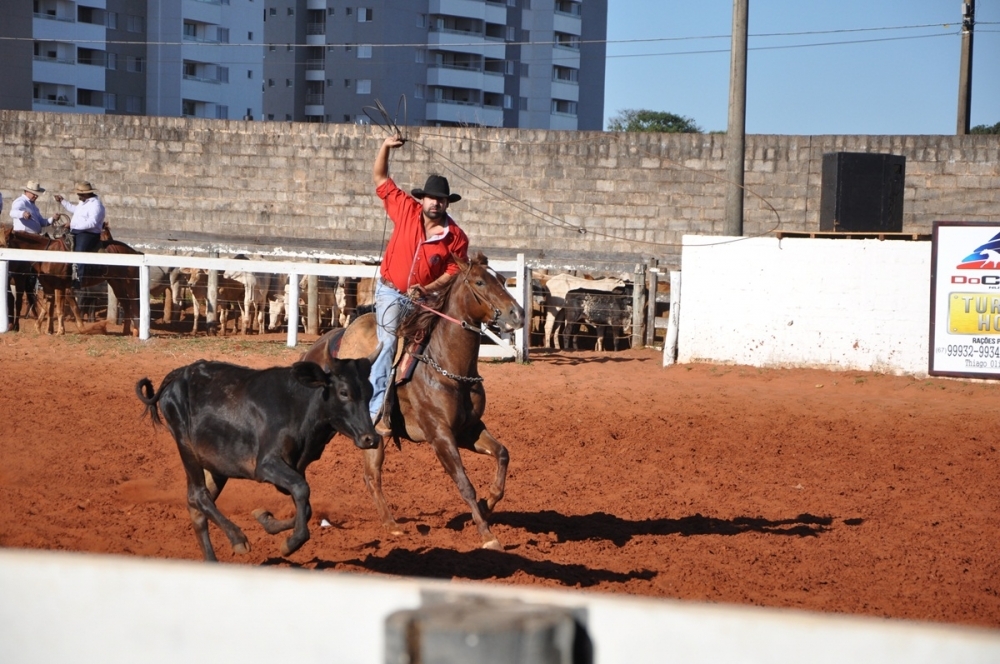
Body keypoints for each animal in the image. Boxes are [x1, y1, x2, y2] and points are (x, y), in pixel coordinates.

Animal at [0, 224, 143, 338]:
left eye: (3, 243)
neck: (49, 253)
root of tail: (133, 251)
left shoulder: (60, 286)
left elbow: (59, 309)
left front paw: (60, 331)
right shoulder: (48, 287)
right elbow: (48, 308)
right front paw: (44, 329)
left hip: (130, 283)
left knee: (134, 304)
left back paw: (136, 331)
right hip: (116, 283)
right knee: (126, 304)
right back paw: (126, 332)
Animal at [135, 352, 376, 560]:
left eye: (371, 391)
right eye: (344, 392)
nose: (370, 438)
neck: (298, 406)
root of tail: (178, 374)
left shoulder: (295, 467)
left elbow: (305, 507)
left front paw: (265, 518)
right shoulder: (266, 465)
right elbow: (301, 489)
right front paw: (291, 543)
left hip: (216, 466)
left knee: (197, 509)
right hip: (187, 448)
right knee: (198, 496)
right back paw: (238, 538)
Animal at [302, 252, 524, 548]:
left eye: (501, 278)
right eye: (479, 281)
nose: (518, 314)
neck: (444, 365)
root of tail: (315, 350)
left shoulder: (468, 430)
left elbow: (502, 454)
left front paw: (487, 506)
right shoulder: (439, 434)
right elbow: (464, 483)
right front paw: (487, 534)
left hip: (371, 437)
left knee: (371, 477)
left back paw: (391, 525)